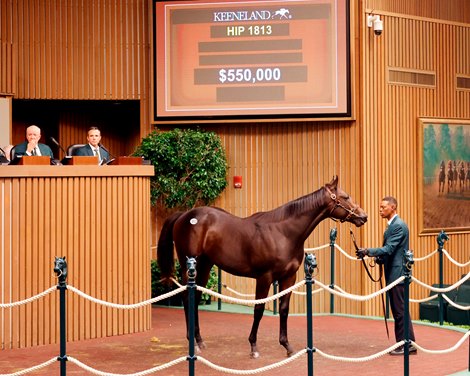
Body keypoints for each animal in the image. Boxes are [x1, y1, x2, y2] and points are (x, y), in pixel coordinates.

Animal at [156, 176, 370, 358]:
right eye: (345, 197)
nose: (363, 216)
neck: (283, 232)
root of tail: (185, 215)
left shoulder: (288, 277)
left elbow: (284, 309)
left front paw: (287, 346)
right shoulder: (264, 277)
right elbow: (258, 309)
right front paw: (253, 347)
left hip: (205, 267)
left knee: (196, 296)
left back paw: (199, 341)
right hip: (189, 267)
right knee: (186, 298)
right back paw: (193, 342)